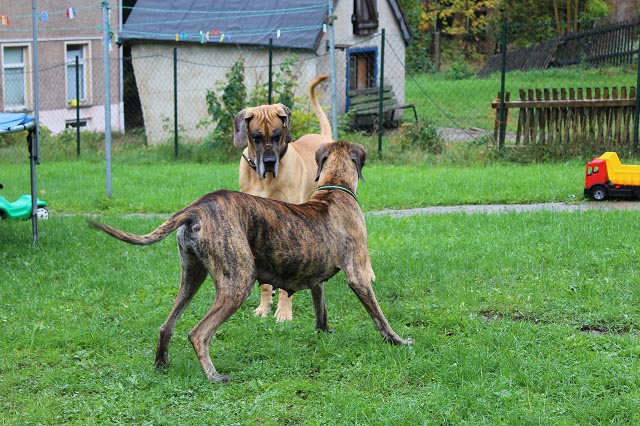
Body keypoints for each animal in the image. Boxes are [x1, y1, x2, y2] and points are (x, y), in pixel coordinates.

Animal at [90, 141, 413, 383]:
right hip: (238, 281)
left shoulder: (316, 279)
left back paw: (161, 365)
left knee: (166, 325)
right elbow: (379, 316)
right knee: (198, 333)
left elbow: (321, 308)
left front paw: (325, 332)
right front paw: (397, 340)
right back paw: (214, 376)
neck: (334, 189)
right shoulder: (358, 275)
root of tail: (197, 208)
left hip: (191, 276)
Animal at [233, 75, 333, 322]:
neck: (265, 180)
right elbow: (265, 283)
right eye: (256, 137)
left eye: (278, 135)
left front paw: (284, 312)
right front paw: (264, 308)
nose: (269, 162)